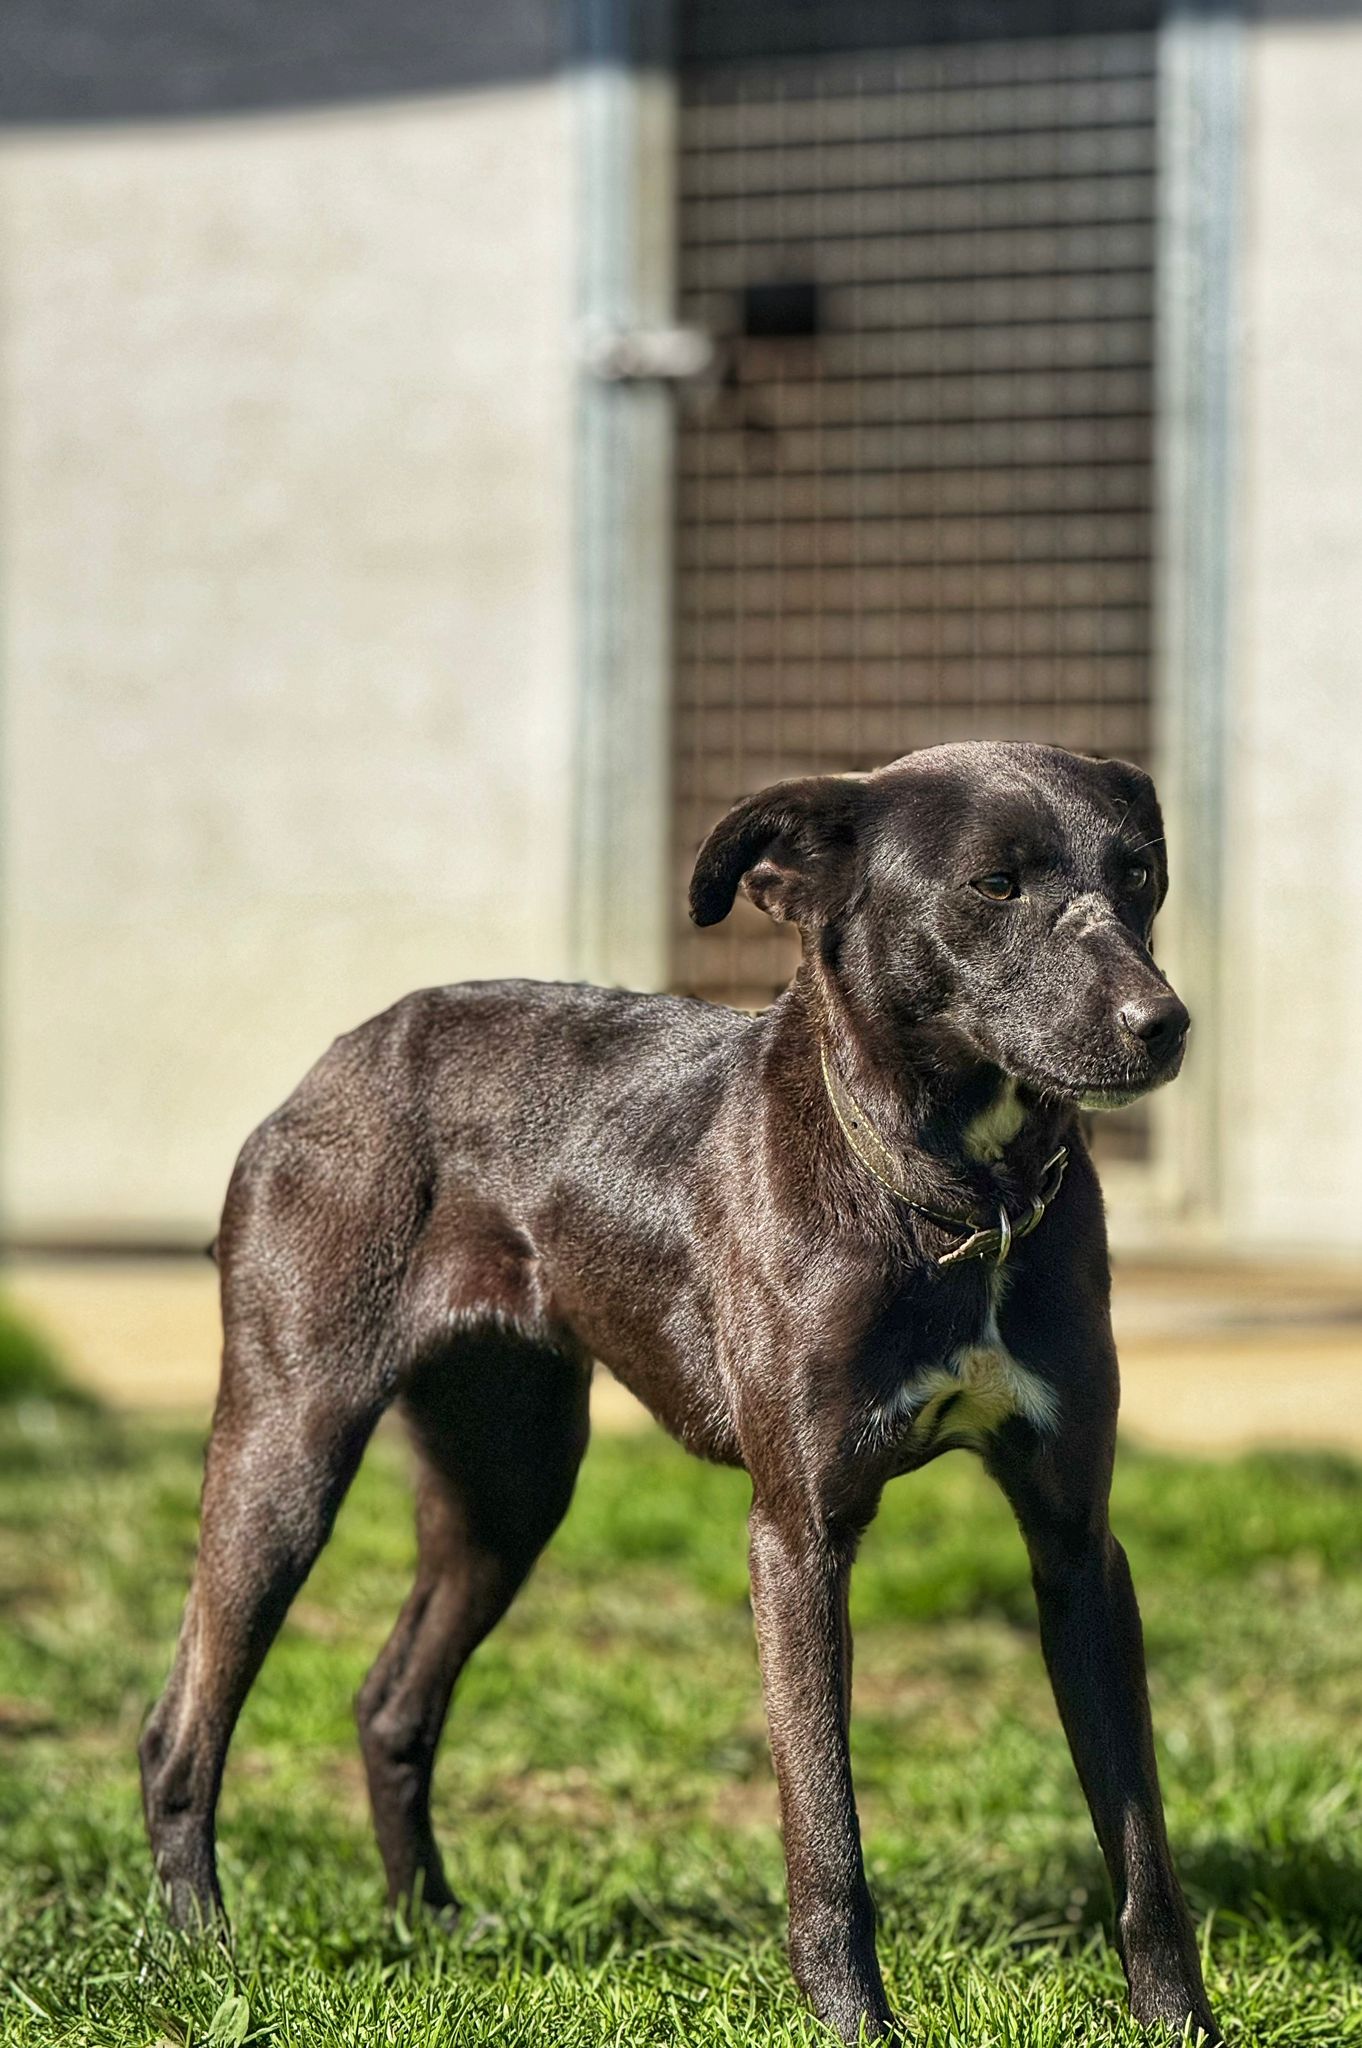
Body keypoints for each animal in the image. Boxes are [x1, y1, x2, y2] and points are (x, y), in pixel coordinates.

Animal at [141, 740, 1220, 2043]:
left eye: (1141, 872)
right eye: (995, 883)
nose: (1164, 1025)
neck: (958, 1206)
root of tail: (337, 1058)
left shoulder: (1078, 1546)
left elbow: (1140, 1832)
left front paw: (1179, 2019)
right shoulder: (797, 1535)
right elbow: (825, 1827)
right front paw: (853, 2022)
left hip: (509, 1488)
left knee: (391, 1700)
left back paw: (429, 1921)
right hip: (287, 1449)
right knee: (180, 1726)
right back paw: (202, 1954)